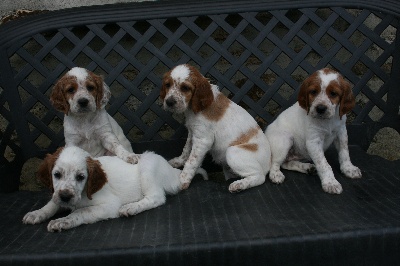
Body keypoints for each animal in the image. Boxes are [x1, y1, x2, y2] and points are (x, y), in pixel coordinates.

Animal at [21, 145, 206, 231]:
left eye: (81, 177)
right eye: (57, 174)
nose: (66, 197)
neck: (83, 194)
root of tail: (174, 171)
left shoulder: (110, 205)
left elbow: (81, 211)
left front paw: (63, 221)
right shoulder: (58, 194)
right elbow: (52, 204)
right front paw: (37, 213)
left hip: (147, 164)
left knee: (156, 198)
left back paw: (131, 207)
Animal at [160, 64, 272, 193]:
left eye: (185, 88)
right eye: (167, 85)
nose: (169, 102)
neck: (194, 108)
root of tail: (270, 161)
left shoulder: (203, 140)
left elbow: (191, 161)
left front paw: (182, 180)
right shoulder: (192, 132)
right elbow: (186, 149)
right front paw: (178, 161)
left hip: (233, 152)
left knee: (260, 177)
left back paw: (239, 185)